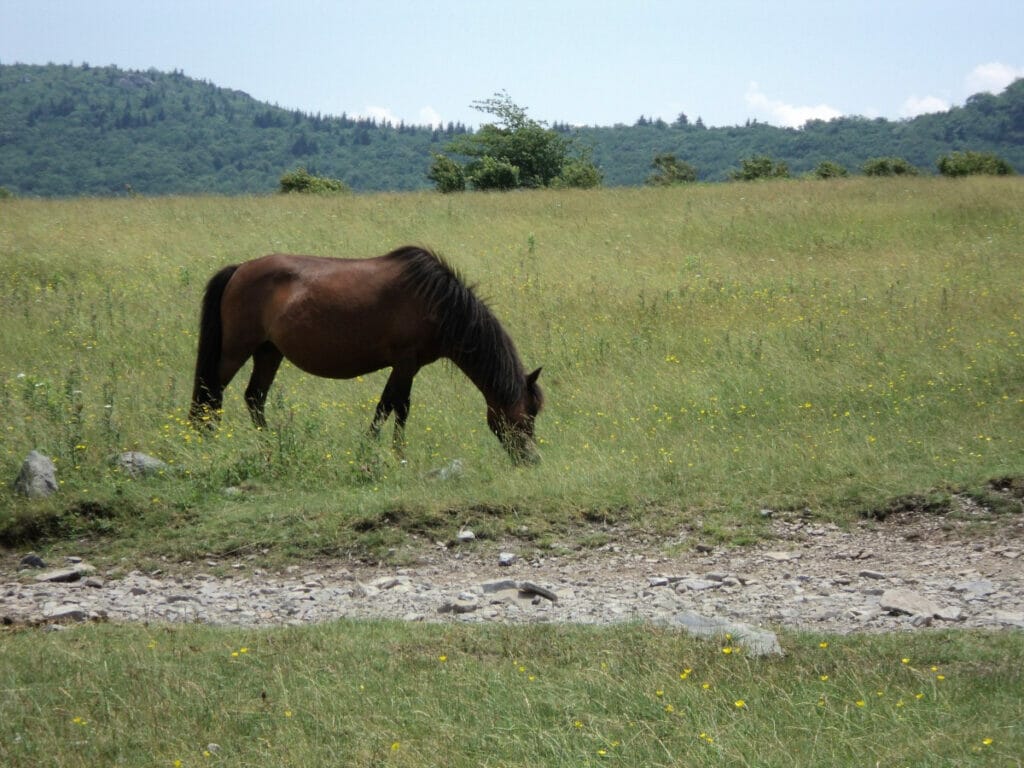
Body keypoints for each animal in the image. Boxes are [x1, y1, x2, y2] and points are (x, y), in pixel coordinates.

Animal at [190, 246, 544, 462]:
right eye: (527, 416)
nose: (531, 460)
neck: (438, 304)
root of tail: (239, 270)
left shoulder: (411, 366)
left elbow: (398, 408)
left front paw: (392, 452)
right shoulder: (405, 362)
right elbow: (389, 407)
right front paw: (378, 450)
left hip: (268, 352)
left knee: (254, 397)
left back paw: (269, 447)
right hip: (236, 349)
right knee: (211, 394)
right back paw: (208, 443)